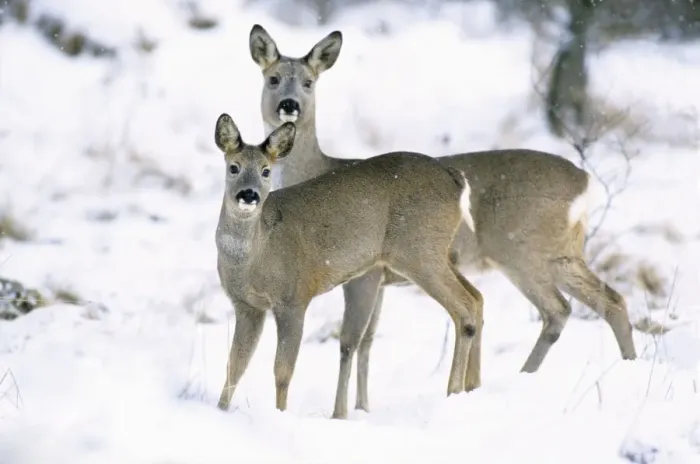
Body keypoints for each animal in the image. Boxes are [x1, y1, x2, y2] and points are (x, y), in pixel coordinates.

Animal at [213, 113, 483, 416]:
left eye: (265, 171)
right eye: (234, 167)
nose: (249, 195)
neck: (254, 257)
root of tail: (455, 179)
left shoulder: (294, 298)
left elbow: (282, 371)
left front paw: (280, 414)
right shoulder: (246, 306)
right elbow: (235, 365)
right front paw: (220, 410)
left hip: (420, 251)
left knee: (464, 307)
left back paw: (453, 390)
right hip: (434, 255)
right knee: (477, 297)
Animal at [246, 24, 639, 420]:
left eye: (309, 82)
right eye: (272, 78)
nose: (289, 105)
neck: (317, 169)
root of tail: (584, 183)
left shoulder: (364, 272)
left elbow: (349, 341)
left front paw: (341, 415)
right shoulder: (382, 280)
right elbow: (369, 341)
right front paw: (363, 407)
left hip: (516, 250)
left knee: (552, 309)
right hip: (562, 252)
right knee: (610, 301)